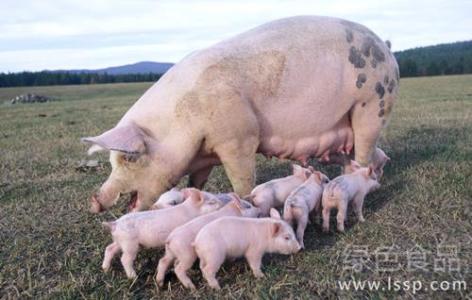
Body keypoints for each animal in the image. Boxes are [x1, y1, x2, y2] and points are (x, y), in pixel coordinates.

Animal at [82, 16, 398, 212]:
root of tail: (386, 47)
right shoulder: (203, 152)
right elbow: (196, 180)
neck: (178, 123)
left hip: (373, 103)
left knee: (363, 154)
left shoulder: (239, 136)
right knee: (371, 155)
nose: (94, 200)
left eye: (129, 158)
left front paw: (245, 202)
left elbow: (242, 177)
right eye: (112, 161)